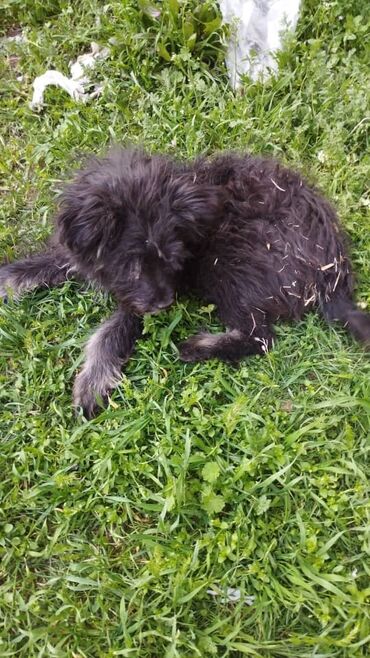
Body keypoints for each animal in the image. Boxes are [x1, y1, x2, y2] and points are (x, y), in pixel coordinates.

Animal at [0, 149, 370, 416]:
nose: (166, 303)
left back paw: (199, 346)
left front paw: (93, 382)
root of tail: (333, 273)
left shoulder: (149, 298)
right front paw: (10, 279)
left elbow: (113, 330)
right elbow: (52, 261)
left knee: (261, 338)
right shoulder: (83, 254)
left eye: (171, 258)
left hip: (227, 262)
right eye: (132, 266)